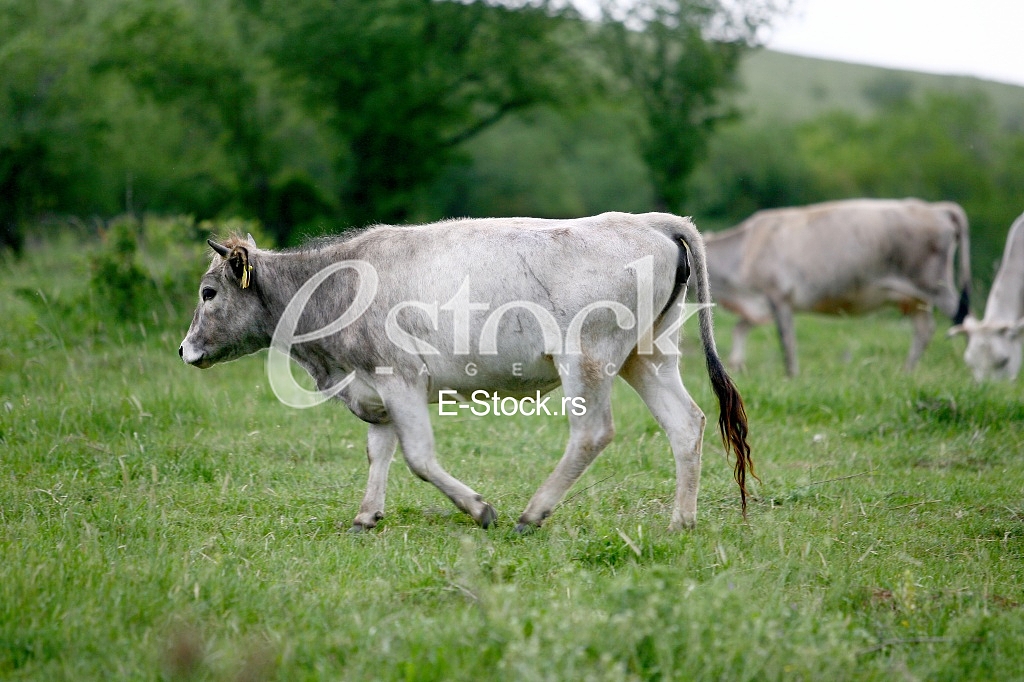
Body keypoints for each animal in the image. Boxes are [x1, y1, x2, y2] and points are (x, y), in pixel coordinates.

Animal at [179, 212, 754, 532]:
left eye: (208, 293)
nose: (185, 350)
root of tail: (650, 220)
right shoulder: (376, 386)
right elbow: (379, 452)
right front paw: (366, 515)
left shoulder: (401, 378)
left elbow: (418, 457)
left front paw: (479, 509)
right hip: (648, 355)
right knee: (686, 424)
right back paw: (680, 521)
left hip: (585, 358)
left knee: (593, 433)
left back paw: (532, 514)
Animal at [702, 198, 971, 377]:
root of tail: (937, 208)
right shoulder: (760, 305)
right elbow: (740, 328)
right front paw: (736, 364)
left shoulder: (778, 296)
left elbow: (787, 342)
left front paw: (791, 377)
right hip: (914, 298)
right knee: (924, 330)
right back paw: (906, 372)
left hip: (936, 286)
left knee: (965, 320)